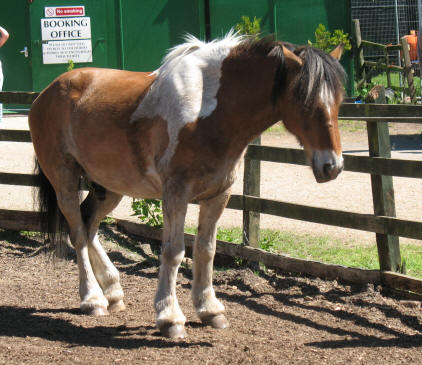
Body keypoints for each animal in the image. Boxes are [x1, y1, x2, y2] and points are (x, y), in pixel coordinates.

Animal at [29, 33, 346, 338]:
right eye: (305, 101)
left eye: (339, 100)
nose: (332, 166)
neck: (209, 110)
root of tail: (45, 94)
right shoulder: (175, 194)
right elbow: (174, 251)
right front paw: (170, 317)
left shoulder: (218, 195)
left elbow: (206, 250)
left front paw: (210, 310)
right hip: (64, 181)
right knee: (78, 234)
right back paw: (93, 299)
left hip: (109, 187)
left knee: (89, 225)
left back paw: (113, 291)